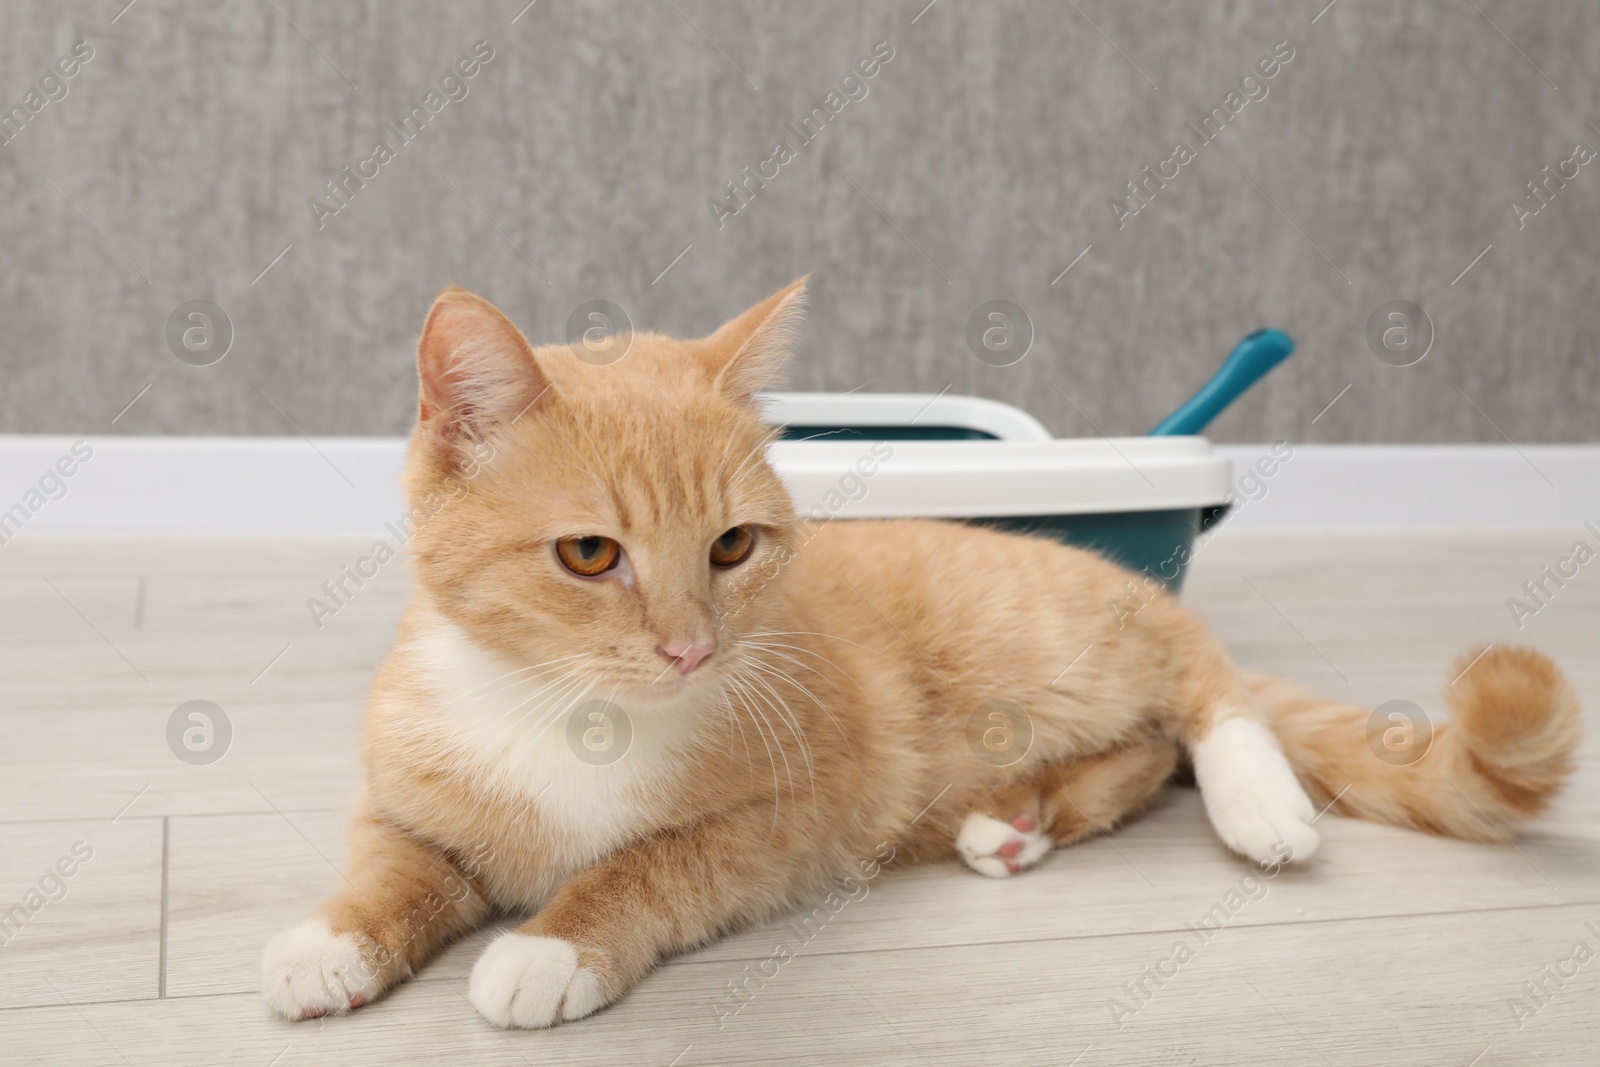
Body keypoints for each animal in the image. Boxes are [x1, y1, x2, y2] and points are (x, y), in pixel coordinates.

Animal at [259, 279, 1574, 1030]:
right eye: (590, 552)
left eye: (731, 544)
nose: (691, 648)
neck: (562, 710)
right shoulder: (407, 792)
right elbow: (397, 864)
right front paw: (332, 938)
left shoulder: (779, 824)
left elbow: (647, 865)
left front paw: (549, 942)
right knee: (1142, 754)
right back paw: (1015, 820)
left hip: (1079, 641)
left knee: (1205, 682)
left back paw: (1260, 802)